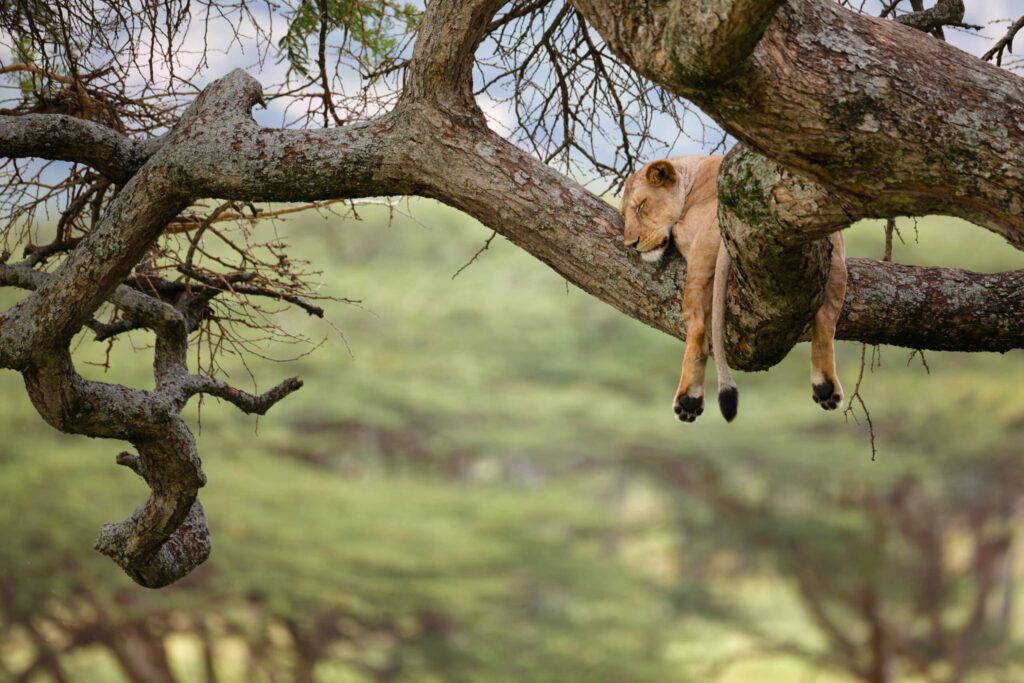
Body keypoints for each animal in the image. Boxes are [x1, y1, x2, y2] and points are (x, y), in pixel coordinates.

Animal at [620, 156, 847, 423]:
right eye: (623, 215)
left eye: (640, 206)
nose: (631, 244)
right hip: (836, 257)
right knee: (827, 317)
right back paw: (825, 387)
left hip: (700, 256)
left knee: (697, 327)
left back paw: (689, 398)